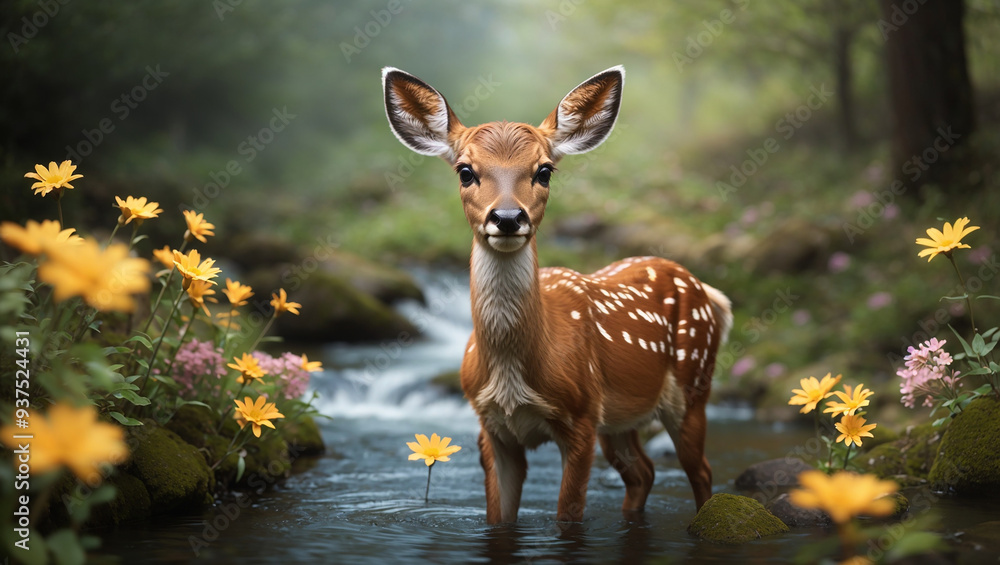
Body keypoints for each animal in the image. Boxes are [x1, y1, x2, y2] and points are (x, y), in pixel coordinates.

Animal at [382, 65, 732, 524]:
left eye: (544, 170)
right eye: (465, 171)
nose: (507, 217)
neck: (517, 369)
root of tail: (707, 291)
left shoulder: (581, 416)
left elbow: (569, 514)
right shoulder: (490, 426)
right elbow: (499, 516)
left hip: (693, 383)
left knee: (701, 470)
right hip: (619, 419)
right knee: (643, 472)